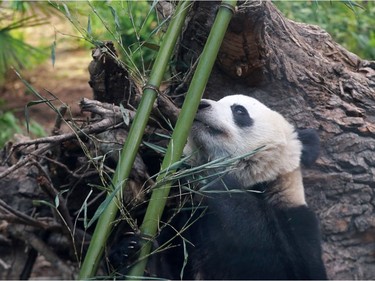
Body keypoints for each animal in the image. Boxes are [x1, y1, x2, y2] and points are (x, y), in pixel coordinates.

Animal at [109, 93, 328, 278]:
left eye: (239, 110)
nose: (200, 105)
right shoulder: (186, 221)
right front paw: (128, 251)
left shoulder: (299, 223)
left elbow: (279, 264)